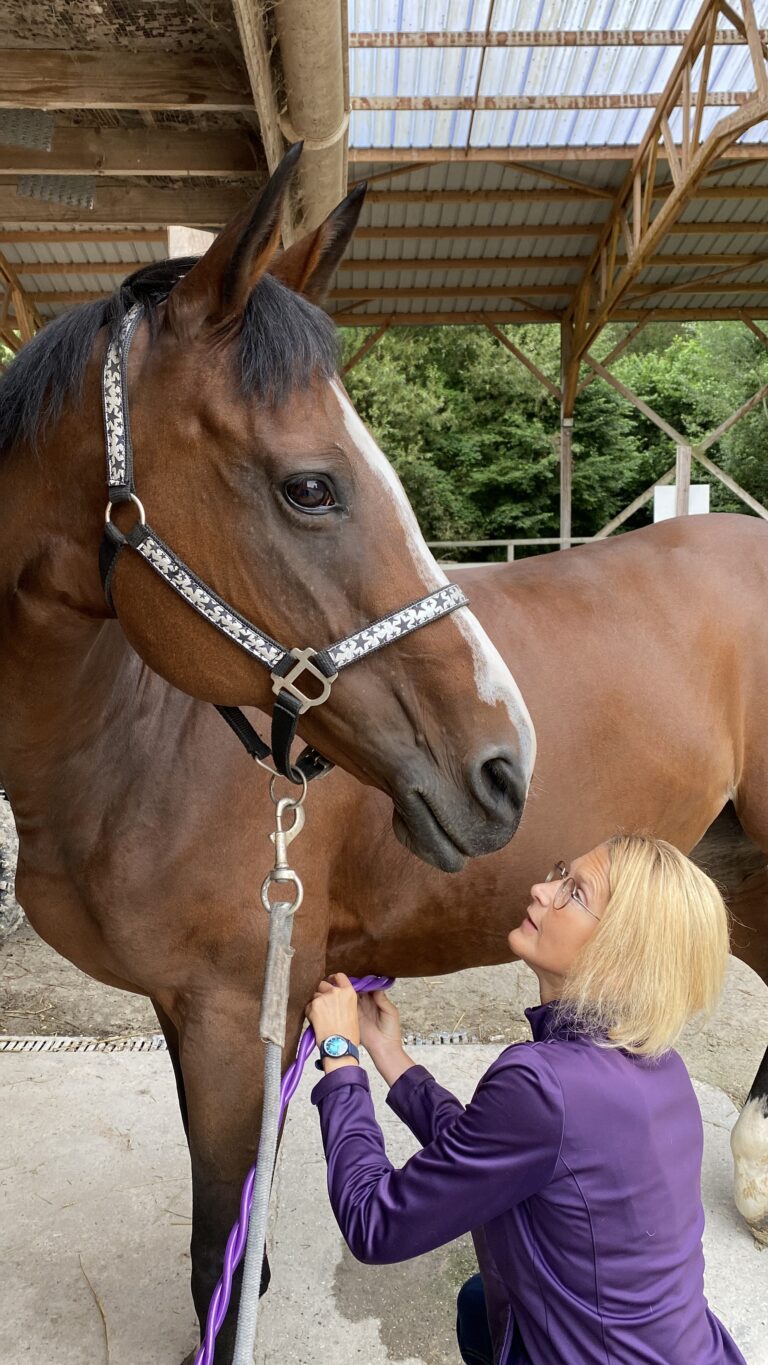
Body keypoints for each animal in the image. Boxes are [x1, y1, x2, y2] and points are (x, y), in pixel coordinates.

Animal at [0, 149, 536, 1365]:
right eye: (310, 485)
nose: (506, 764)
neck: (125, 750)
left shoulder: (233, 1013)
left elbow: (219, 1247)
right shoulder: (200, 1012)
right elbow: (225, 1233)